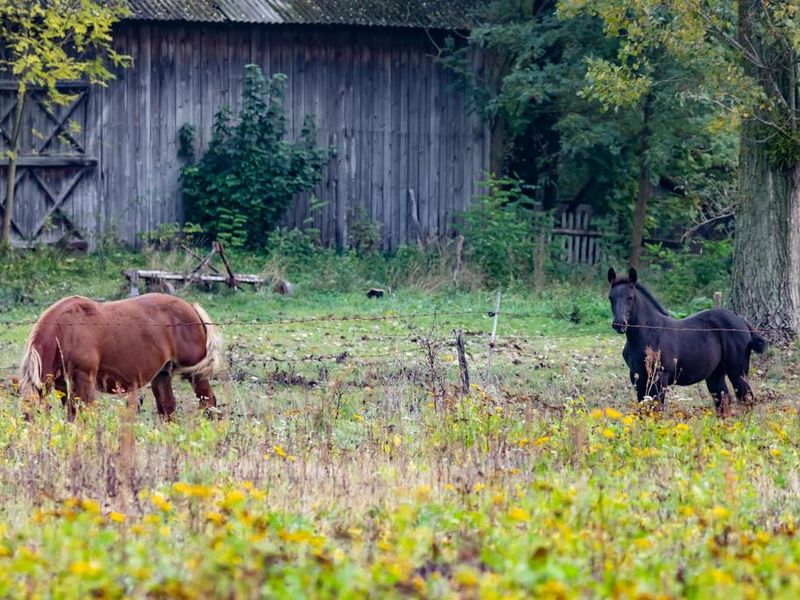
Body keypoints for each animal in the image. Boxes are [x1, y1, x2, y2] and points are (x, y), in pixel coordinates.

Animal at [18, 292, 222, 420]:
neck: (65, 331)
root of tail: (190, 307)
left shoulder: (84, 380)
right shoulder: (63, 386)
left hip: (196, 374)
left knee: (208, 402)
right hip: (163, 375)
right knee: (168, 409)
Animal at [608, 268, 764, 412]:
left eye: (630, 297)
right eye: (611, 298)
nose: (619, 324)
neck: (648, 333)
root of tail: (742, 321)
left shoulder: (660, 379)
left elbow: (657, 409)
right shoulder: (637, 377)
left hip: (738, 371)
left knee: (746, 398)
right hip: (716, 373)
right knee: (723, 399)